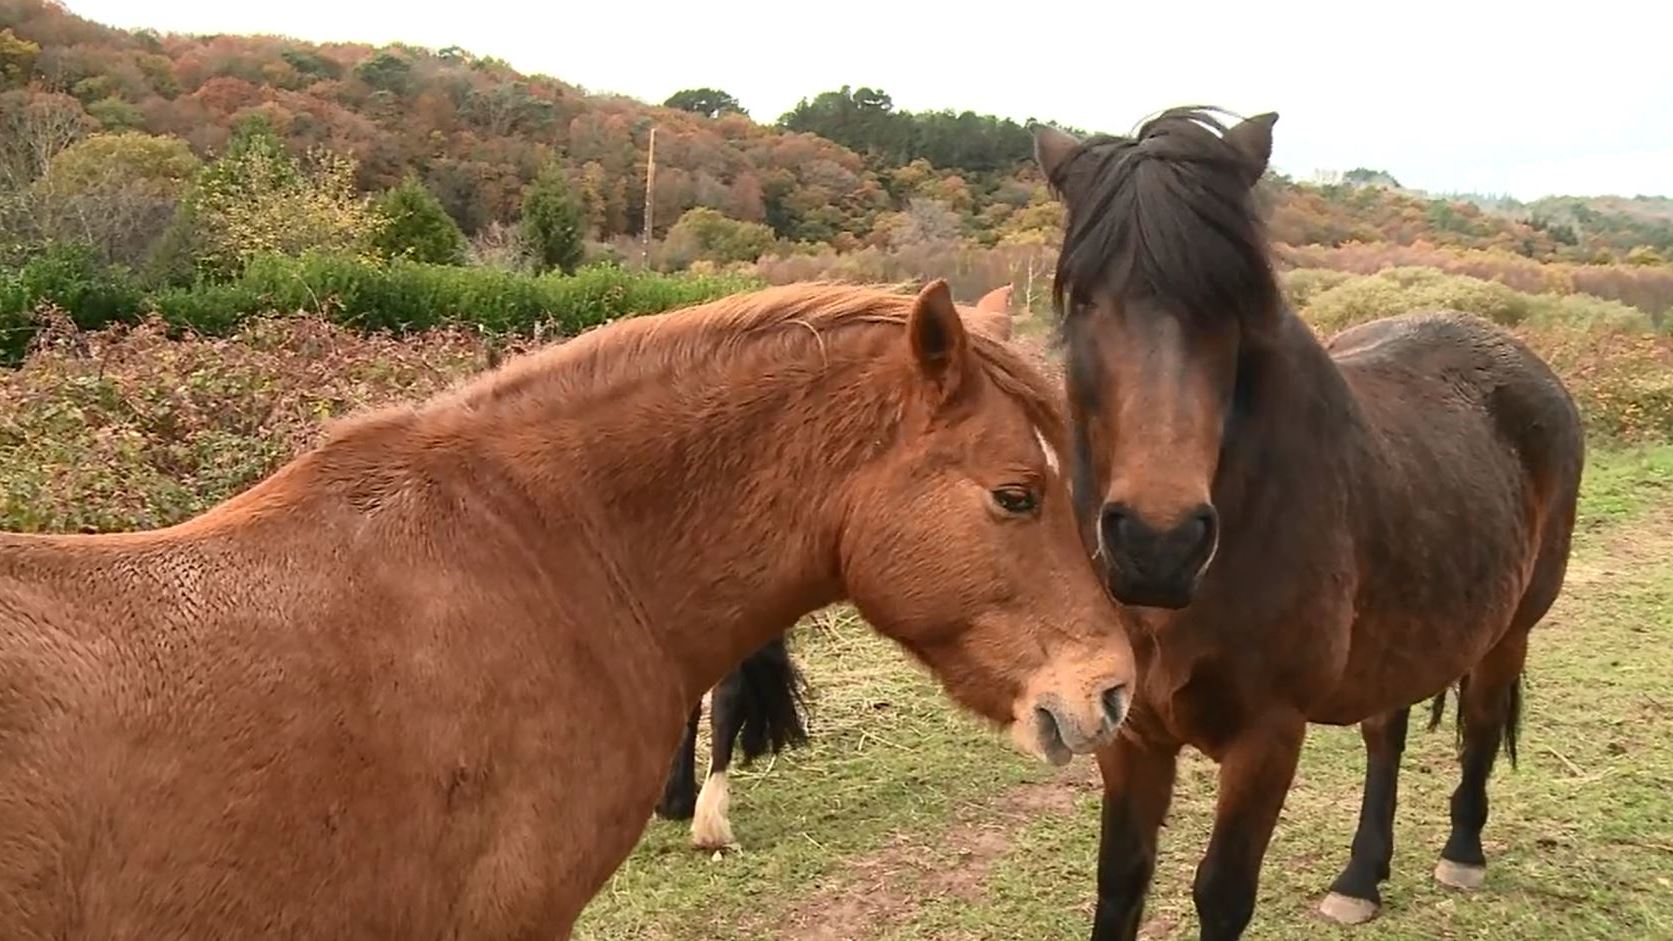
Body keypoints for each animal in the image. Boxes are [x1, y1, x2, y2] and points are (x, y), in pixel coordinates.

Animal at [1023, 106, 1586, 930]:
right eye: (1083, 299)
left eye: (1230, 306)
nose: (1158, 545)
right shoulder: (1130, 733)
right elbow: (1120, 879)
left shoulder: (1268, 735)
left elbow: (1221, 891)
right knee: (1386, 732)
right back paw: (1359, 877)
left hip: (1510, 628)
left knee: (1480, 721)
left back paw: (1462, 852)